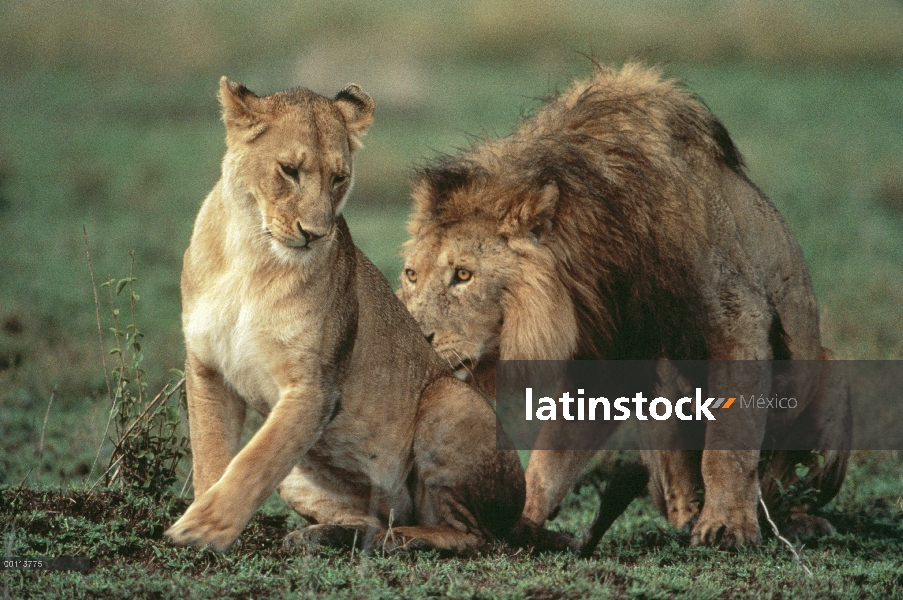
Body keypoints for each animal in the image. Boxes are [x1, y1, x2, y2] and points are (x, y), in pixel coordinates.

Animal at [165, 78, 528, 552]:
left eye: (339, 178)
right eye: (289, 170)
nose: (315, 234)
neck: (252, 253)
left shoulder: (315, 388)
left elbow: (254, 461)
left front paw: (200, 529)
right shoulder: (207, 368)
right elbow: (213, 457)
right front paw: (201, 523)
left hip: (451, 399)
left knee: (470, 535)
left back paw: (400, 539)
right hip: (303, 477)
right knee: (374, 518)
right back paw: (324, 536)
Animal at [402, 62, 856, 548]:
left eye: (463, 275)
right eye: (412, 275)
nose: (411, 339)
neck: (606, 238)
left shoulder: (738, 319)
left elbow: (729, 441)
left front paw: (727, 526)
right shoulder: (606, 349)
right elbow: (553, 451)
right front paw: (520, 519)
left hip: (834, 372)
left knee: (788, 488)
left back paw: (797, 520)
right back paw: (687, 513)